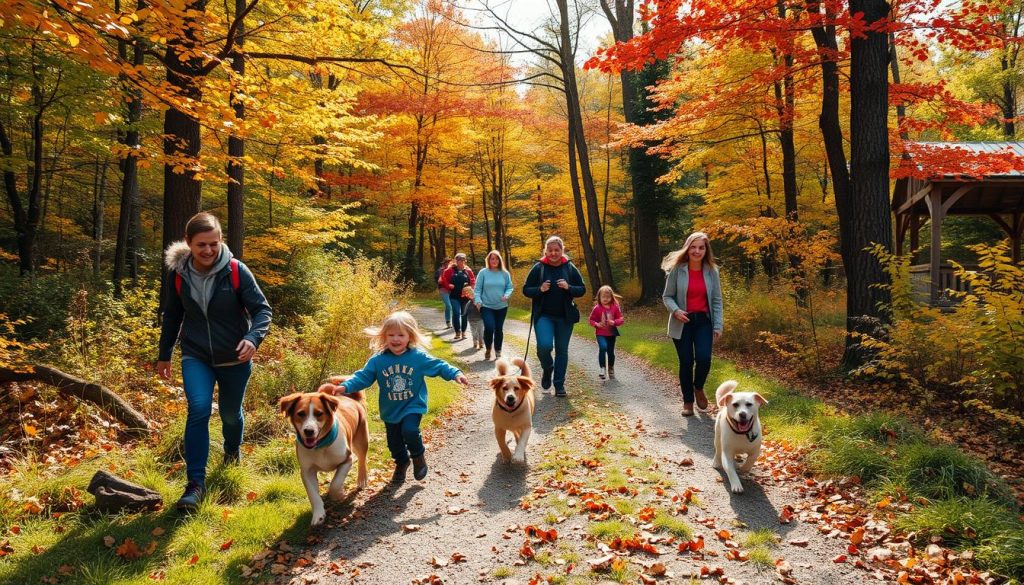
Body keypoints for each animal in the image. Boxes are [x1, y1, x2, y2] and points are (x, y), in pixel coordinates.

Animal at [278, 387, 370, 528]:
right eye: (301, 413)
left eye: (319, 413)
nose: (309, 431)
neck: (320, 446)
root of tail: (351, 399)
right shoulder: (306, 471)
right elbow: (313, 494)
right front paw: (318, 514)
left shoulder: (347, 460)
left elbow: (335, 484)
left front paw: (339, 495)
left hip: (361, 440)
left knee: (362, 459)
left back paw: (361, 479)